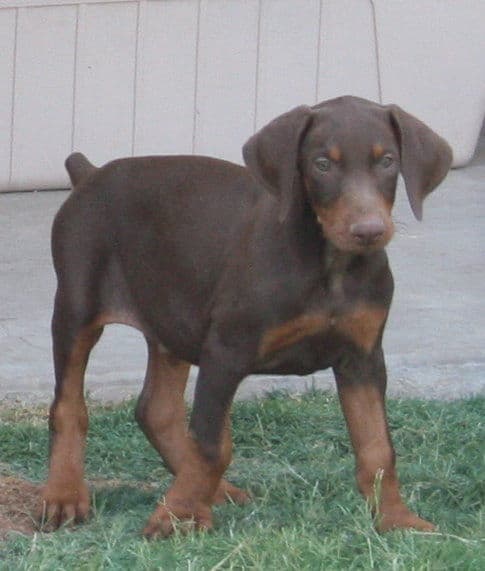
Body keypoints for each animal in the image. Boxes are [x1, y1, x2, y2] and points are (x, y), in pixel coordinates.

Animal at [40, 96, 450, 540]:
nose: (369, 231)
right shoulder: (226, 352)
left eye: (388, 161)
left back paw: (214, 492)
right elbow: (210, 444)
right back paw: (66, 494)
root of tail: (91, 173)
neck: (331, 266)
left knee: (157, 410)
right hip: (77, 305)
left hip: (174, 316)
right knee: (69, 406)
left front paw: (396, 518)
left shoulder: (363, 358)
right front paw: (175, 514)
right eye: (322, 164)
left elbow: (377, 446)